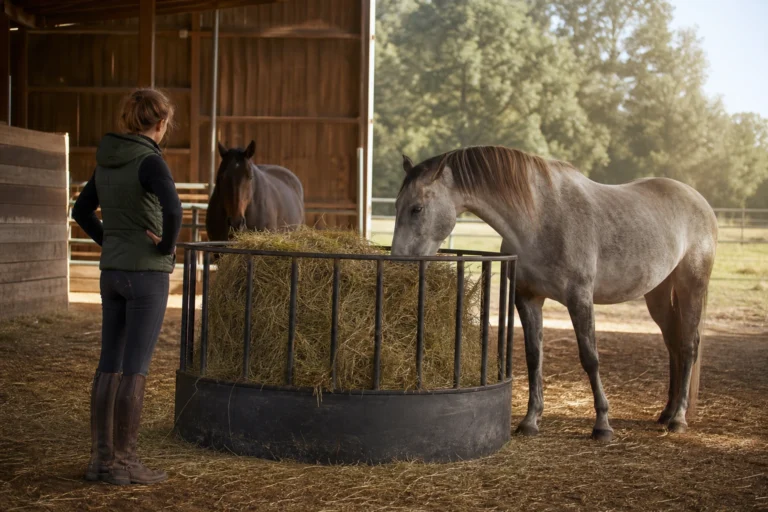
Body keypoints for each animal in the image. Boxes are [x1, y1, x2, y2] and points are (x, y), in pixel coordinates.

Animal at [391, 145, 717, 441]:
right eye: (396, 206)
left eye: (417, 208)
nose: (399, 261)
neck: (538, 218)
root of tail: (699, 201)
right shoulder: (527, 298)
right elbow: (534, 356)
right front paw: (530, 420)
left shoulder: (579, 298)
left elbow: (590, 358)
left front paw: (602, 424)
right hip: (658, 294)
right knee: (673, 345)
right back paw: (666, 412)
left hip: (691, 285)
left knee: (688, 345)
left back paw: (678, 419)